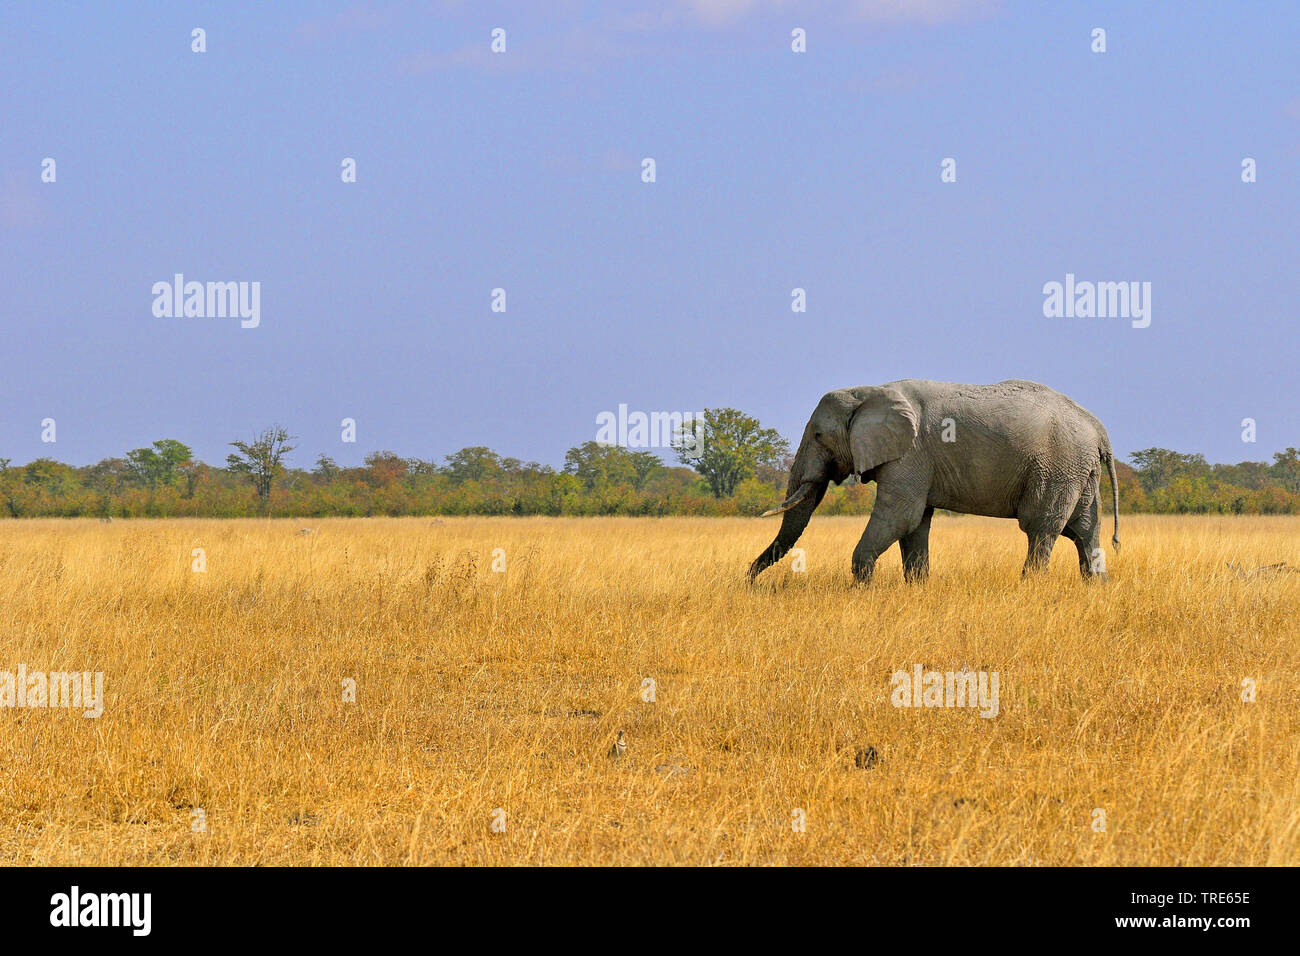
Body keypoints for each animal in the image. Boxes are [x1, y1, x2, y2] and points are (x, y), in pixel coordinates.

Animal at [749, 379, 1119, 584]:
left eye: (818, 435)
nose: (749, 580)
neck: (868, 390)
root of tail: (1097, 426)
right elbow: (915, 525)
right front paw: (916, 588)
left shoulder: (910, 453)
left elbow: (901, 516)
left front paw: (862, 587)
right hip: (1079, 469)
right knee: (1084, 529)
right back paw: (1096, 588)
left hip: (1057, 466)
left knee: (1041, 527)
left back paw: (1030, 587)